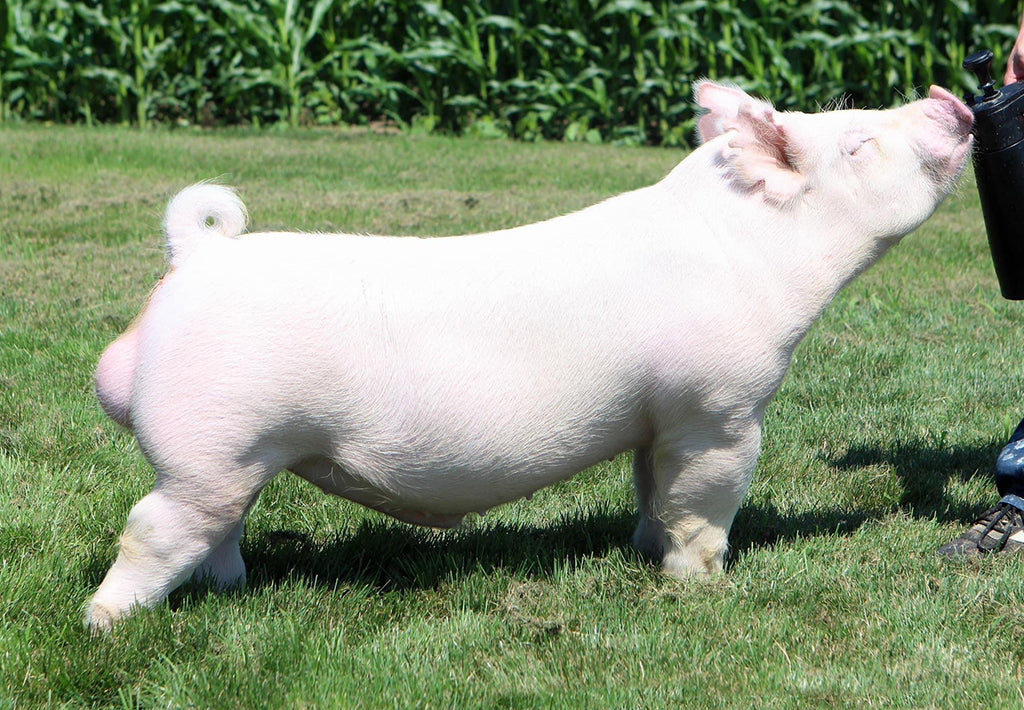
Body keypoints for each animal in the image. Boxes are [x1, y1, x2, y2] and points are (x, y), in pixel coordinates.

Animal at [84, 82, 974, 630]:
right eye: (858, 142)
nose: (949, 98)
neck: (752, 252)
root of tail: (198, 258)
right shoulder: (719, 405)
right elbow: (703, 501)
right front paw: (703, 586)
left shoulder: (656, 416)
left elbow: (650, 489)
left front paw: (643, 552)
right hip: (210, 442)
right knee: (154, 527)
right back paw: (106, 625)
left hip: (238, 455)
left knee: (221, 528)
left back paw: (232, 589)